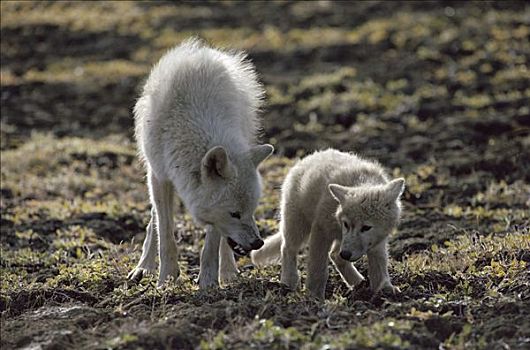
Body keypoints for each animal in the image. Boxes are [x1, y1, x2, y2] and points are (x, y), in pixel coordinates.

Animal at [129, 39, 272, 288]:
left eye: (252, 210)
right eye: (234, 214)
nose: (258, 243)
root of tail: (205, 51)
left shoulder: (212, 213)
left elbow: (212, 243)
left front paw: (208, 282)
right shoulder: (160, 177)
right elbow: (165, 234)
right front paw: (166, 279)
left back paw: (228, 272)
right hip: (152, 173)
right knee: (154, 218)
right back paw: (144, 266)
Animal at [250, 149, 402, 300]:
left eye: (366, 227)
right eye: (346, 224)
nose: (346, 254)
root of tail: (311, 156)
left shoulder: (377, 240)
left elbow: (379, 265)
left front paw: (384, 289)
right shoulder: (321, 230)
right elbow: (318, 268)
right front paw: (314, 297)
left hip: (337, 238)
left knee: (335, 255)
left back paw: (358, 283)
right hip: (297, 223)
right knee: (288, 249)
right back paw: (288, 283)